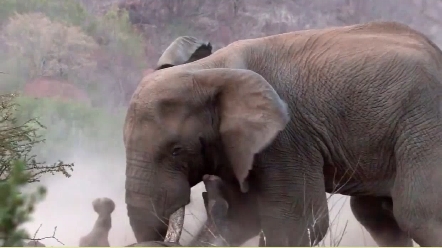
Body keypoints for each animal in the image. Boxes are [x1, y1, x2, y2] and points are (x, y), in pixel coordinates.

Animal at [122, 22, 442, 247]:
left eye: (176, 150)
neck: (206, 71)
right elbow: (242, 219)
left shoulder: (286, 139)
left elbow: (298, 223)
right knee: (374, 214)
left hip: (424, 119)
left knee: (418, 213)